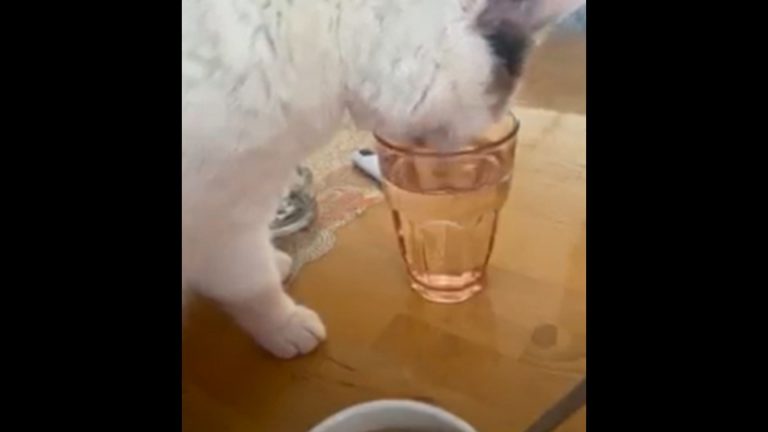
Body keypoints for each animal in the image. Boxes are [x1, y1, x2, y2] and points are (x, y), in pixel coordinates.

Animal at [182, 0, 588, 358]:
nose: (449, 159)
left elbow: (255, 258)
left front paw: (276, 261)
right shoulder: (222, 211)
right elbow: (252, 284)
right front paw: (283, 324)